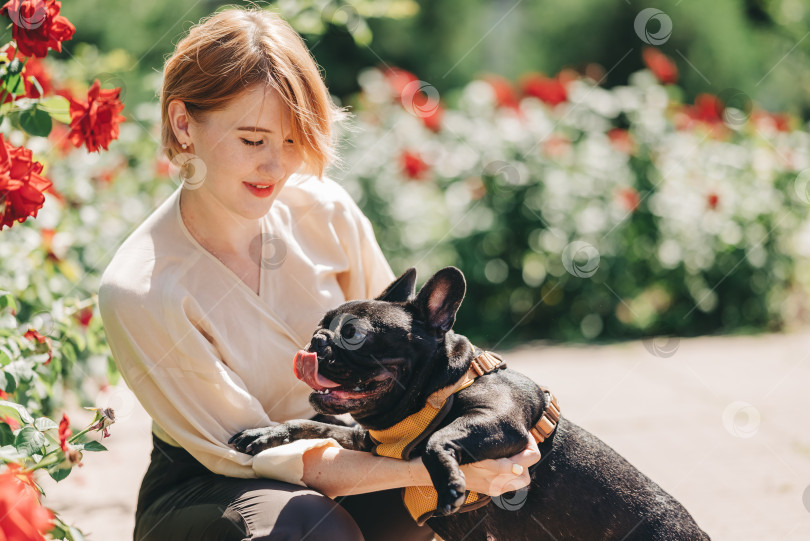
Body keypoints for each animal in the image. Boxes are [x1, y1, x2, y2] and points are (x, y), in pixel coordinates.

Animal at [229, 266, 708, 540]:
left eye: (354, 334)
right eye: (321, 325)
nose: (317, 341)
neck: (436, 388)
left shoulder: (498, 420)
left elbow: (437, 440)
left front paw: (451, 486)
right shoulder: (366, 441)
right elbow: (315, 427)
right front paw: (266, 433)